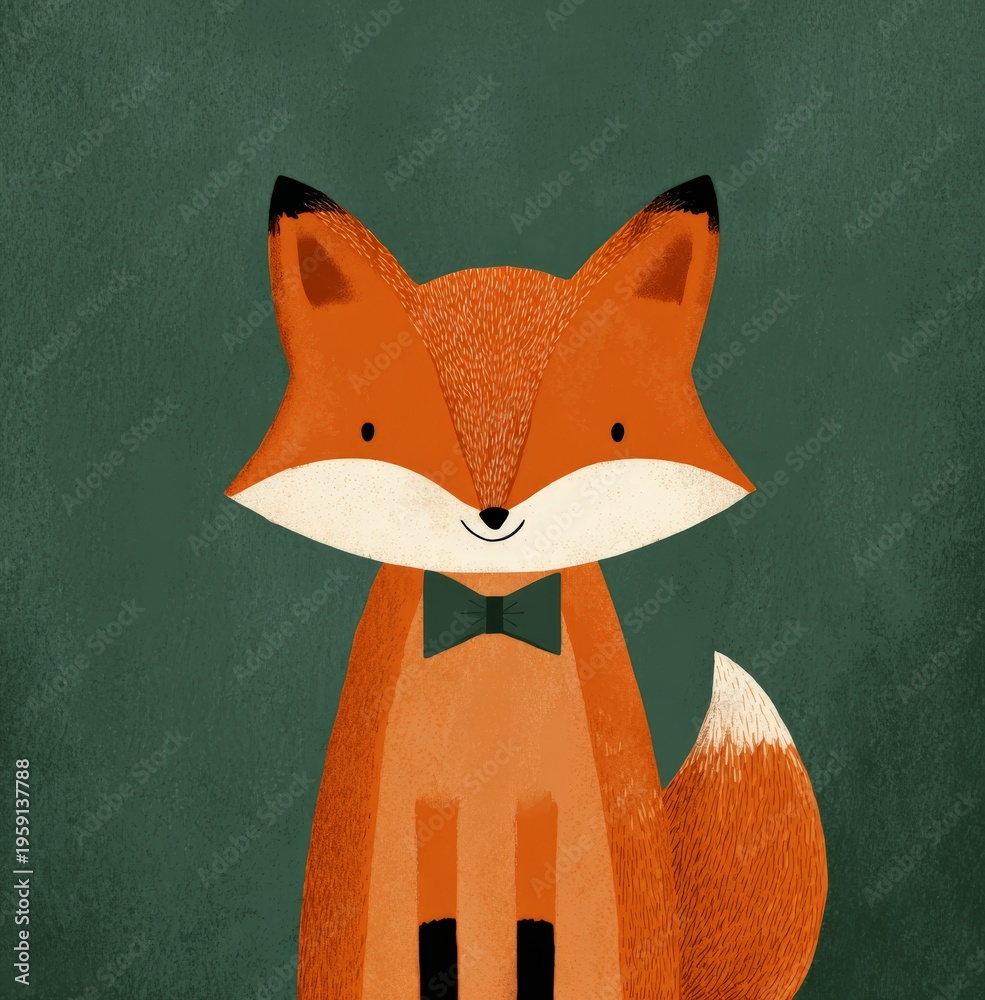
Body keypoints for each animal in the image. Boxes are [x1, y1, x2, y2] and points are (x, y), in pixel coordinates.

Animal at [226, 173, 827, 1000]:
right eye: (374, 432)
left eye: (612, 432)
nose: (493, 514)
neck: (493, 617)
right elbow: (433, 944)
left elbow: (540, 943)